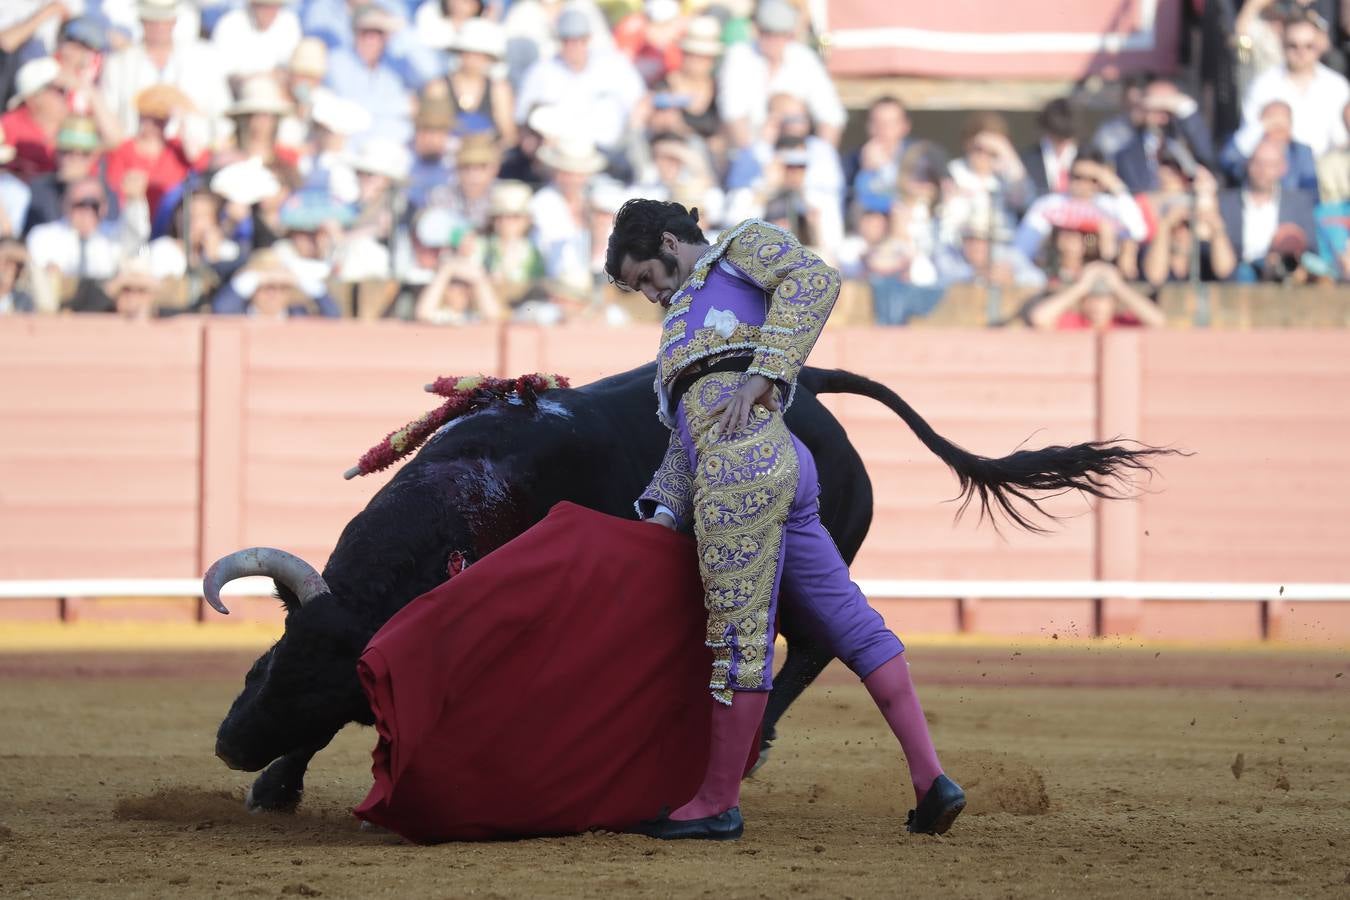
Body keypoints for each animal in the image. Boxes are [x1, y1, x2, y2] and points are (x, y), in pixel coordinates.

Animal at [205, 361, 1166, 814]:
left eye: (325, 690)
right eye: (267, 667)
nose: (230, 745)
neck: (476, 485)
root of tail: (810, 389)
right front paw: (277, 786)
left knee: (813, 647)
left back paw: (751, 748)